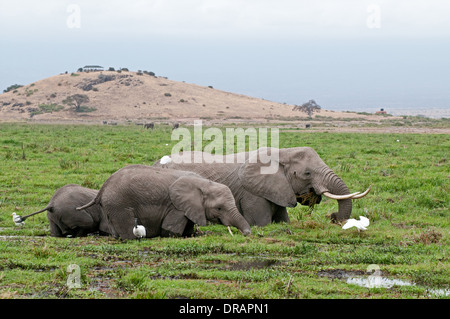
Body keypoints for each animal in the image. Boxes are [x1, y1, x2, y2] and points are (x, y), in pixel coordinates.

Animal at [78, 165, 253, 240]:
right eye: (219, 208)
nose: (248, 234)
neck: (204, 183)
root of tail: (103, 187)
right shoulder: (176, 207)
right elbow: (170, 230)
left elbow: (188, 229)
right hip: (119, 204)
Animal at [153, 148, 370, 225]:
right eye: (307, 173)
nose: (332, 217)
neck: (282, 153)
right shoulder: (252, 194)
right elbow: (262, 223)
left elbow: (284, 221)